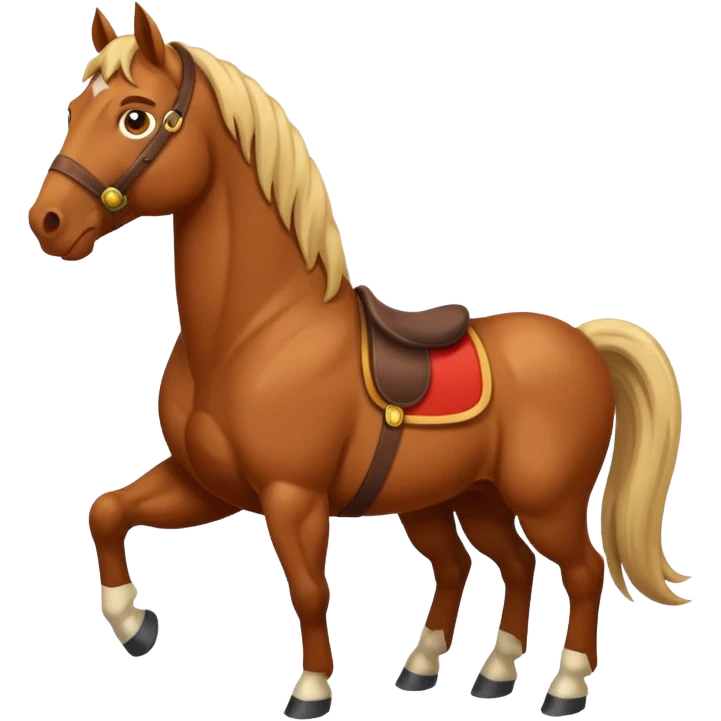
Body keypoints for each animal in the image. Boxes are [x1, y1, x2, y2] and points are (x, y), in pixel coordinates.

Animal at [28, 4, 689, 719]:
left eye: (135, 117)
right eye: (75, 108)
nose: (48, 222)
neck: (254, 332)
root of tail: (583, 342)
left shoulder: (292, 497)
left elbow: (310, 590)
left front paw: (312, 690)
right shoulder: (205, 483)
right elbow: (107, 512)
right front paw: (135, 624)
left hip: (547, 502)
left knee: (581, 570)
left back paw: (564, 686)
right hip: (461, 500)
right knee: (497, 565)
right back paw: (470, 673)